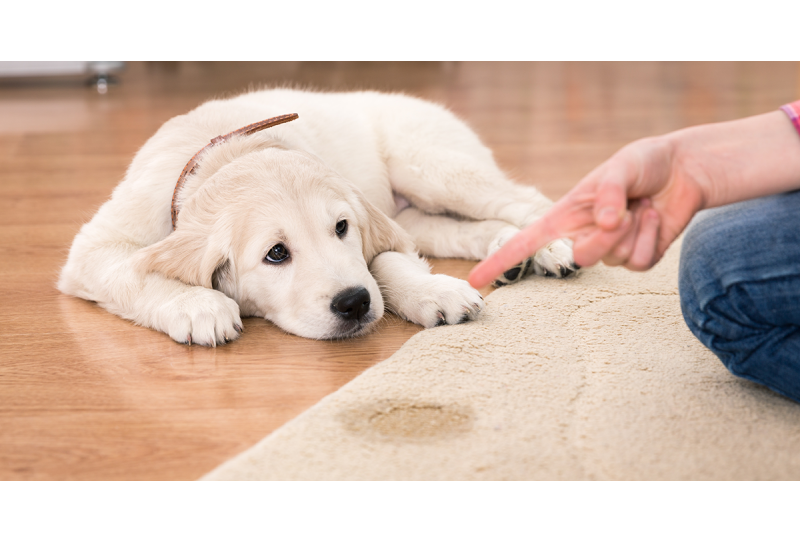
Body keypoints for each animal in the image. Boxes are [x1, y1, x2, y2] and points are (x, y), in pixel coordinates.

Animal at [61, 87, 576, 346]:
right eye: (276, 254)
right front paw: (197, 306)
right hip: (417, 209)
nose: (354, 304)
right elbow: (133, 272)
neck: (226, 153)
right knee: (460, 228)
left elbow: (386, 262)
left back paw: (552, 247)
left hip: (431, 166)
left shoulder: (375, 226)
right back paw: (508, 252)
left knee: (523, 199)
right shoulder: (94, 249)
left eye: (341, 228)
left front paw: (434, 291)